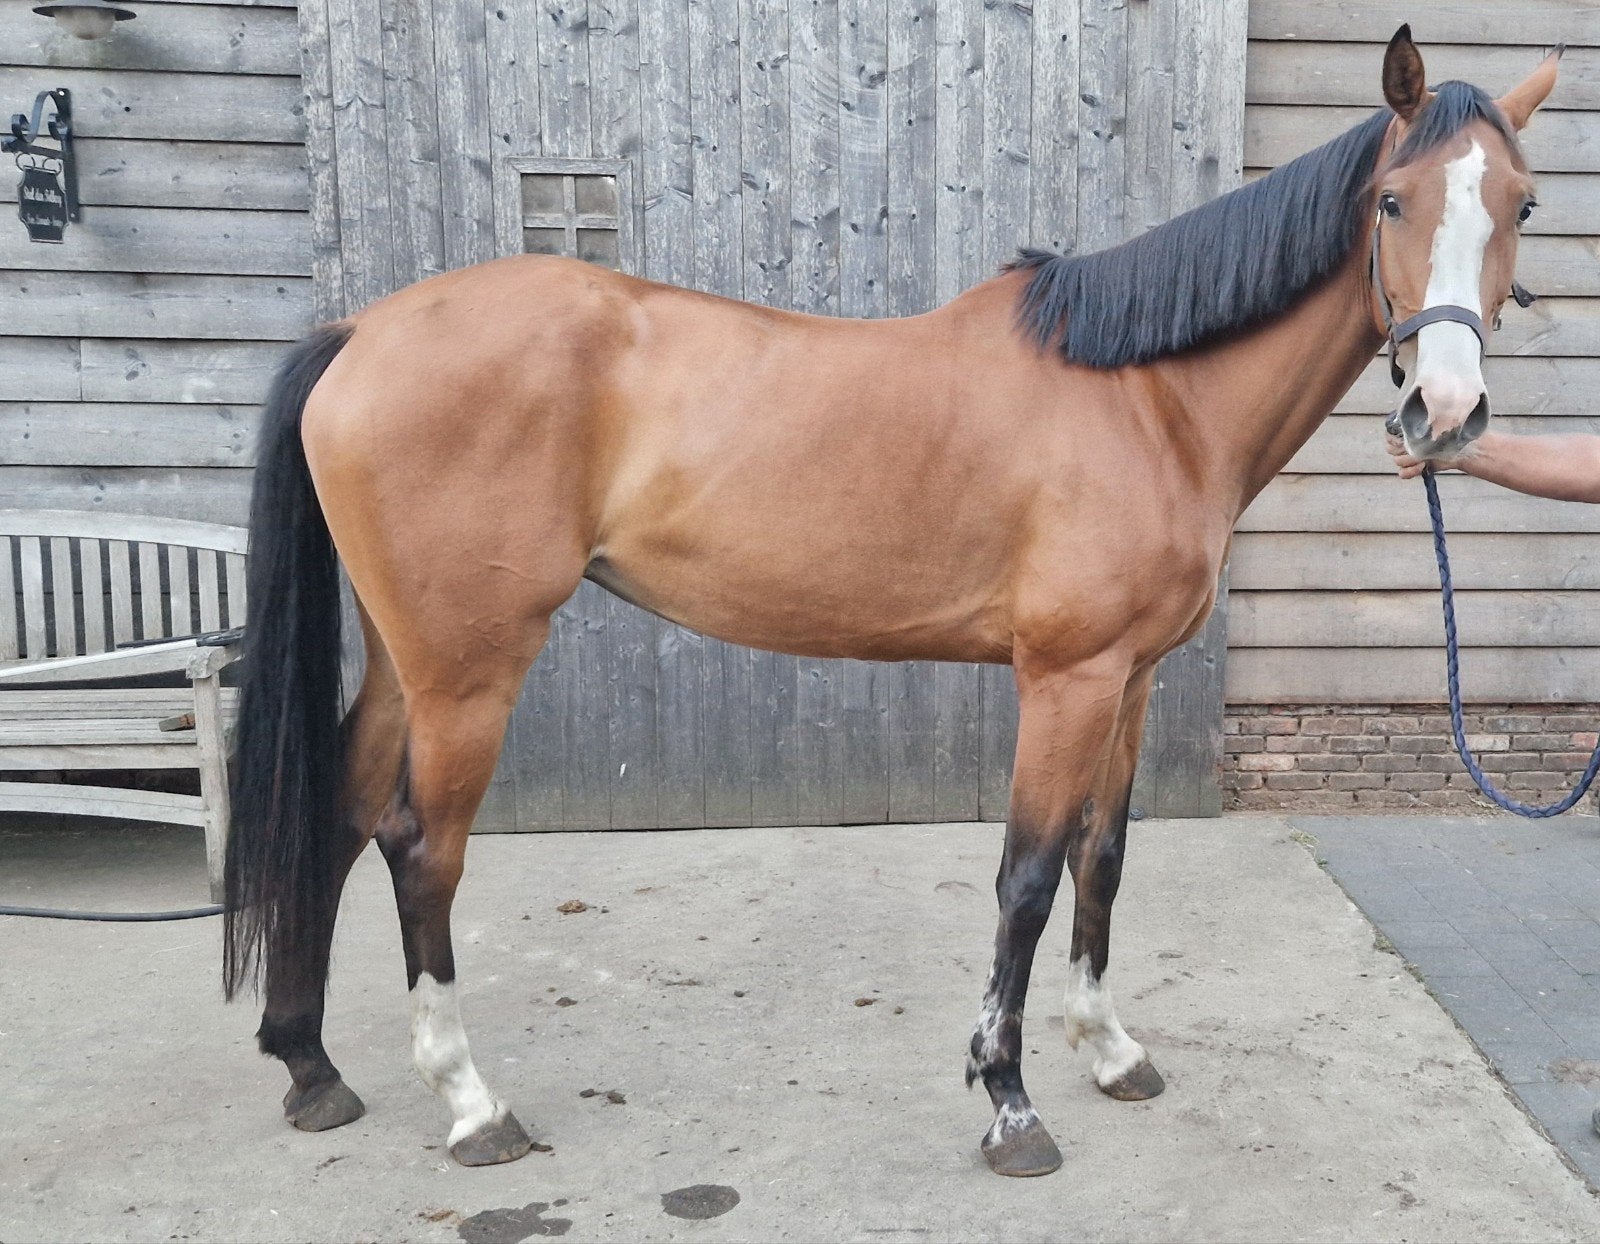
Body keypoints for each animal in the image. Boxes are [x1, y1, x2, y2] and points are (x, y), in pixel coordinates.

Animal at [221, 27, 1560, 1177]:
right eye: (1392, 201)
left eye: (1522, 205)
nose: (1445, 413)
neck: (1149, 399)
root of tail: (359, 330)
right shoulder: (1064, 679)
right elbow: (1027, 878)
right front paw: (1009, 1101)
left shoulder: (1128, 678)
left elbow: (1103, 857)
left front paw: (1110, 1051)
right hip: (470, 669)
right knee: (419, 846)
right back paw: (470, 1103)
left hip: (408, 657)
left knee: (337, 812)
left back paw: (310, 1067)